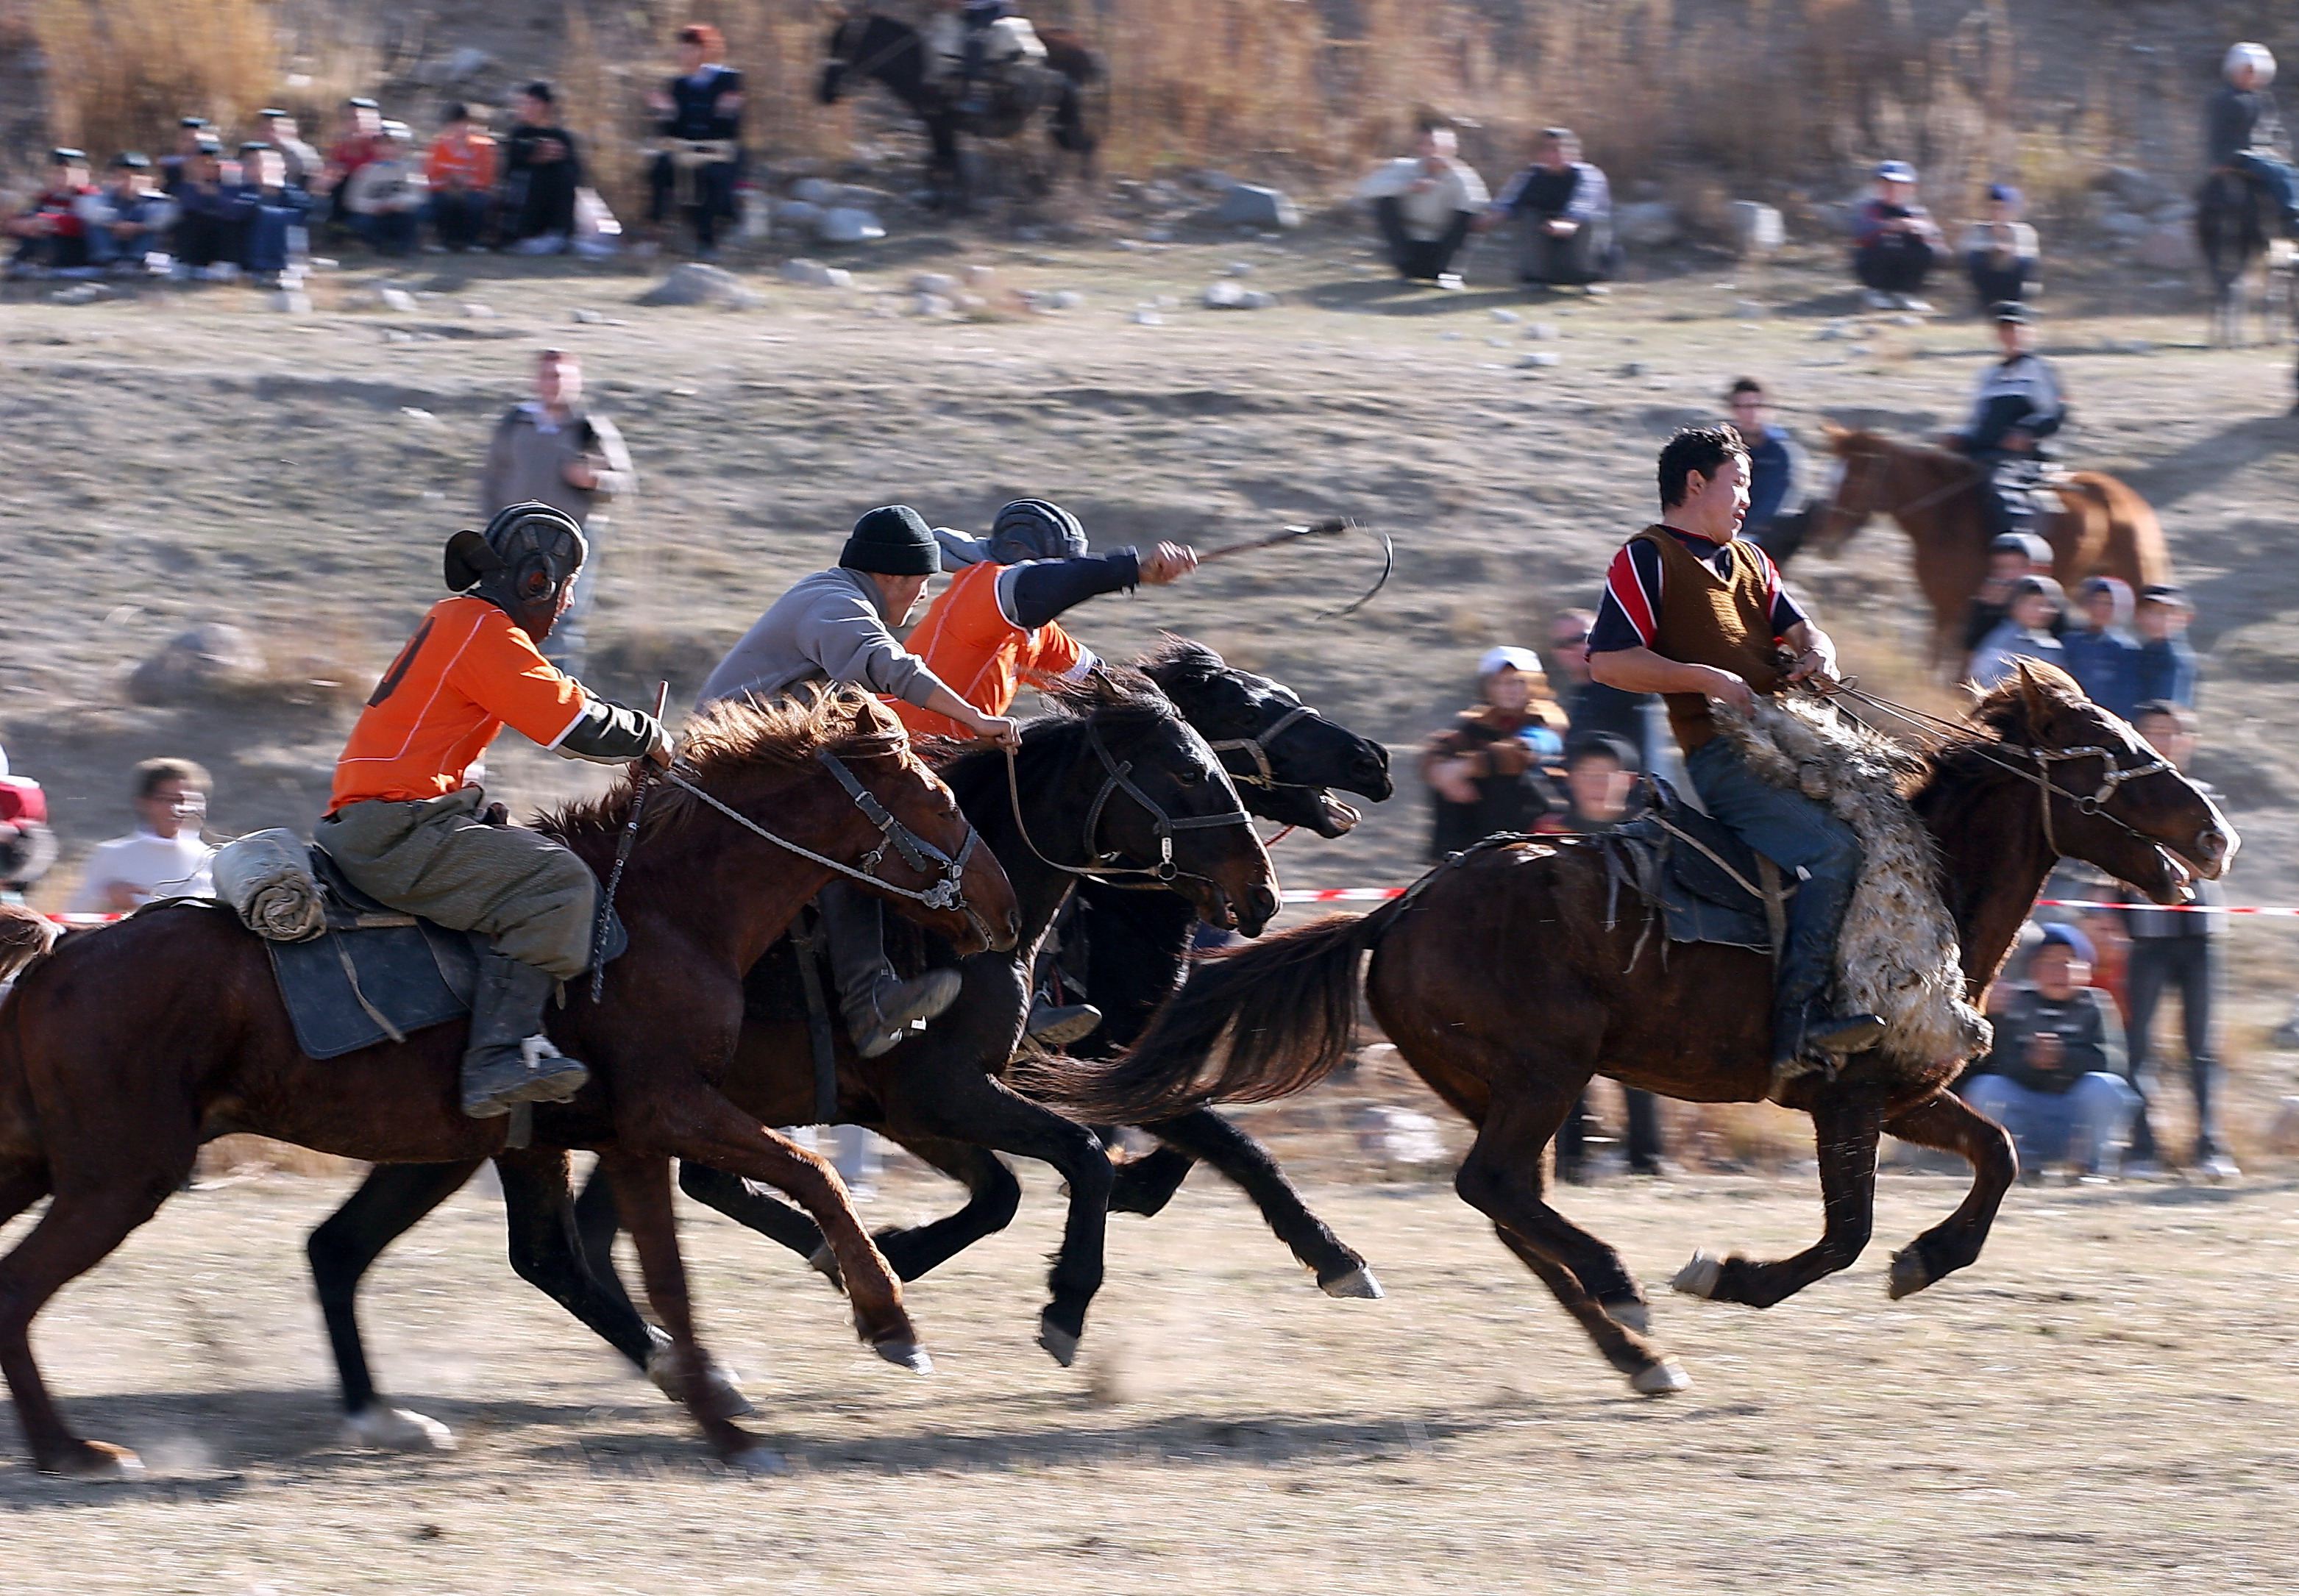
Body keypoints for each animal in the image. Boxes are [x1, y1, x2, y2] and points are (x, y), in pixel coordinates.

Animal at [301, 658, 1379, 1453]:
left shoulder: (944, 1098)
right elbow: (1108, 1157)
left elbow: (1061, 1175)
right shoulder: (951, 1089)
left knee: (424, 1244)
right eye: (1198, 760)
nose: (1370, 760)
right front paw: (1060, 1302)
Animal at [818, 8, 1104, 209]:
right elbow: (945, 163)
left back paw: (1079, 198)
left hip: (1067, 110)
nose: (824, 93)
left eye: (842, 42)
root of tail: (1078, 42)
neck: (919, 65)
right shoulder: (941, 126)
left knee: (1084, 147)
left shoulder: (940, 123)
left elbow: (945, 163)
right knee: (1079, 146)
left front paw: (945, 204)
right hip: (1061, 113)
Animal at [1043, 666, 2225, 1407]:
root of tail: (1403, 908)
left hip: (1501, 1086)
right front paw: (1731, 1274)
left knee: (1507, 1205)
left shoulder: (1901, 1092)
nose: (2214, 830)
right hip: (1544, 1072)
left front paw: (1927, 1258)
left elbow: (2000, 1155)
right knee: (1497, 1189)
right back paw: (1619, 1287)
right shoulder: (1843, 1094)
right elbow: (1844, 1234)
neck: (1929, 880)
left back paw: (1633, 1352)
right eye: (2105, 749)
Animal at [1811, 425, 2170, 666]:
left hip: (2137, 578)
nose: (1825, 541)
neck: (1945, 516)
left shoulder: (1960, 609)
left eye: (1853, 480)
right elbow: (1936, 660)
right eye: (1830, 478)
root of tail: (2127, 497)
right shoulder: (1944, 608)